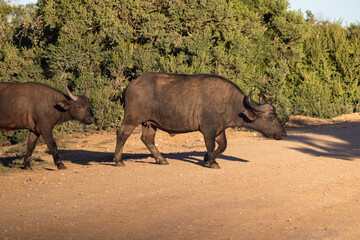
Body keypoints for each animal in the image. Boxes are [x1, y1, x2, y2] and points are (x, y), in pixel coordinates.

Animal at [113, 73, 286, 169]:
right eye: (271, 117)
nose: (283, 133)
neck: (229, 103)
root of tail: (130, 86)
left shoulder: (220, 129)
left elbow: (223, 145)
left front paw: (207, 158)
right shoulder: (208, 129)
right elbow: (210, 144)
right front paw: (212, 162)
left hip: (149, 123)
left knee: (147, 139)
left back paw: (161, 160)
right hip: (132, 118)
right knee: (122, 133)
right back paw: (118, 160)